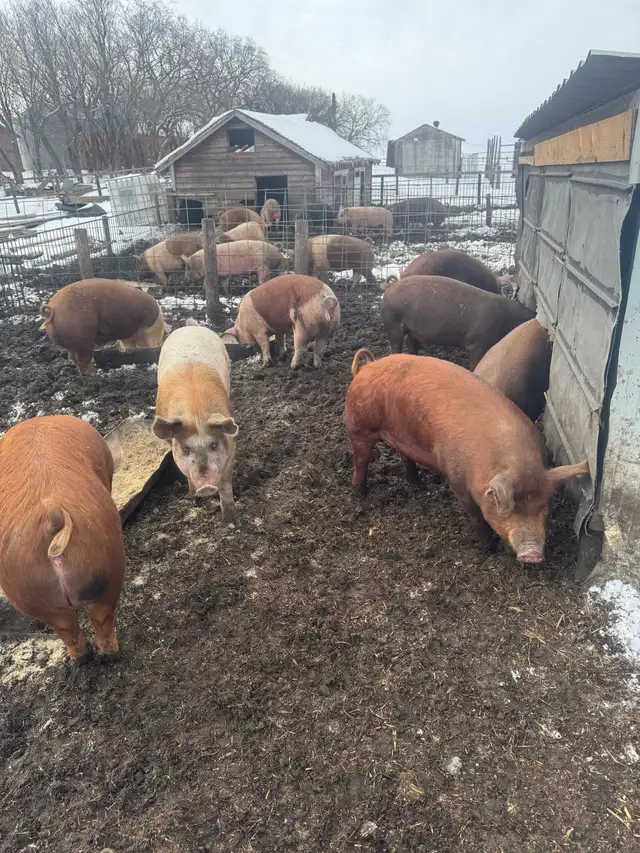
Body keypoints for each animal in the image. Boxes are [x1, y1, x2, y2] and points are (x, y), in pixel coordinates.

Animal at [0, 415, 125, 661]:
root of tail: (54, 519)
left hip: (31, 591)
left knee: (69, 629)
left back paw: (83, 659)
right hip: (108, 563)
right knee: (99, 620)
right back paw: (108, 655)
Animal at [40, 278, 168, 374]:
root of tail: (51, 310)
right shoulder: (146, 334)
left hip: (73, 344)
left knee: (73, 358)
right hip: (84, 339)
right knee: (83, 359)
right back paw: (95, 377)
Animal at [153, 323, 238, 521]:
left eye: (214, 445)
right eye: (185, 450)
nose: (206, 487)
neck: (195, 414)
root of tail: (189, 327)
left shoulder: (231, 444)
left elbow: (225, 484)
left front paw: (230, 518)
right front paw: (194, 498)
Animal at [345, 349, 589, 562]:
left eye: (544, 508)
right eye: (511, 508)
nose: (532, 555)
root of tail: (366, 368)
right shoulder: (456, 480)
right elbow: (476, 516)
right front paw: (488, 549)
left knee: (404, 457)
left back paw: (419, 485)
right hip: (359, 426)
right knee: (360, 459)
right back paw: (360, 494)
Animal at [381, 275, 535, 369]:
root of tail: (389, 288)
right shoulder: (477, 343)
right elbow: (475, 364)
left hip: (411, 330)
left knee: (411, 343)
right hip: (393, 323)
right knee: (396, 346)